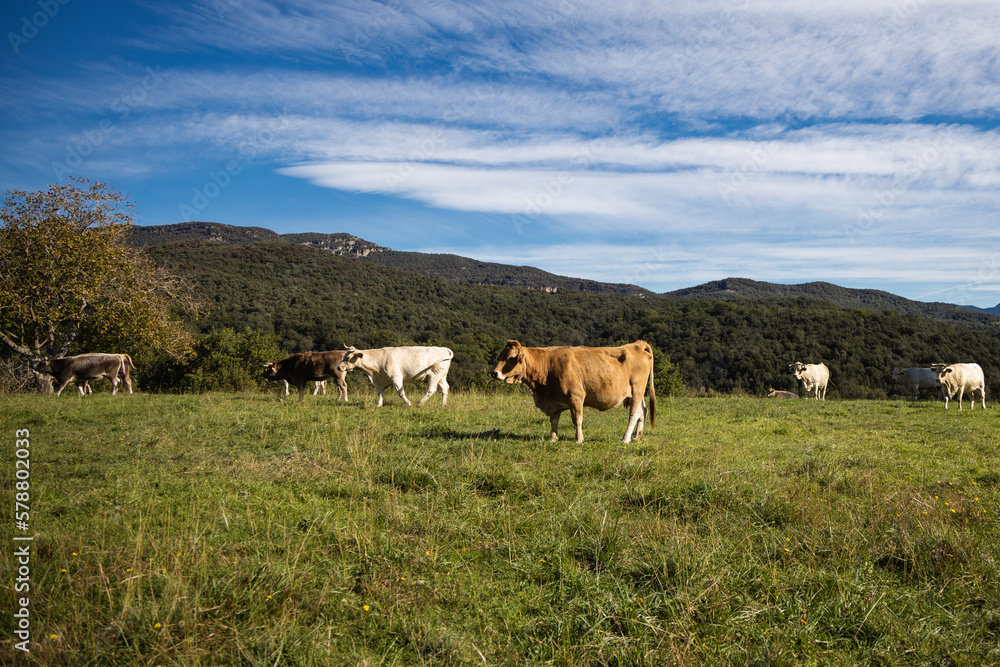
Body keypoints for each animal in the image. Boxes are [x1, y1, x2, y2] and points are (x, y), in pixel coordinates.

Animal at [490, 342, 656, 446]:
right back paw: (637, 436)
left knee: (633, 414)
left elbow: (577, 420)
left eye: (511, 358)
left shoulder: (576, 397)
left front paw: (578, 439)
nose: (494, 373)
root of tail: (637, 344)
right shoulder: (553, 400)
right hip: (636, 393)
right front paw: (553, 438)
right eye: (498, 357)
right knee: (643, 411)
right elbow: (554, 420)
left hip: (637, 390)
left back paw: (625, 439)